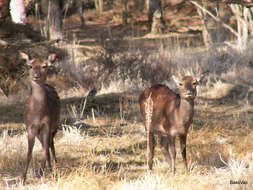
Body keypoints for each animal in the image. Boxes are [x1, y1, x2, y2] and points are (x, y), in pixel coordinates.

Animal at [20, 52, 60, 183]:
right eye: (30, 66)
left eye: (44, 66)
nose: (36, 75)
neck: (38, 114)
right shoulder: (30, 127)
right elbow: (29, 152)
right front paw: (23, 178)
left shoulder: (47, 125)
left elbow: (45, 150)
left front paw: (41, 173)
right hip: (39, 132)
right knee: (45, 145)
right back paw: (50, 169)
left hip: (55, 126)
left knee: (50, 145)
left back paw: (54, 168)